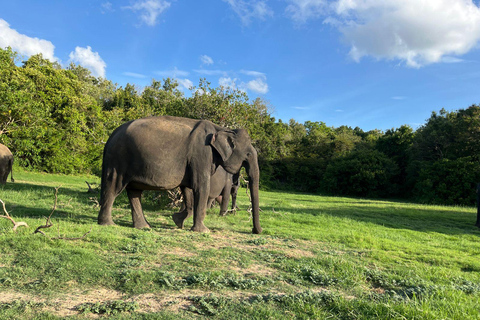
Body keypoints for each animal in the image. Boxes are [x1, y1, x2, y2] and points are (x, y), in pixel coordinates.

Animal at [98, 116, 262, 234]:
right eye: (248, 154)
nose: (256, 231)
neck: (221, 128)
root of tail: (111, 136)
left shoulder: (193, 162)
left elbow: (188, 189)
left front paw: (177, 221)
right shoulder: (201, 154)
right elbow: (201, 187)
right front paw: (203, 231)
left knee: (134, 192)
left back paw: (144, 227)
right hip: (118, 160)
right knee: (113, 187)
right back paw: (108, 224)